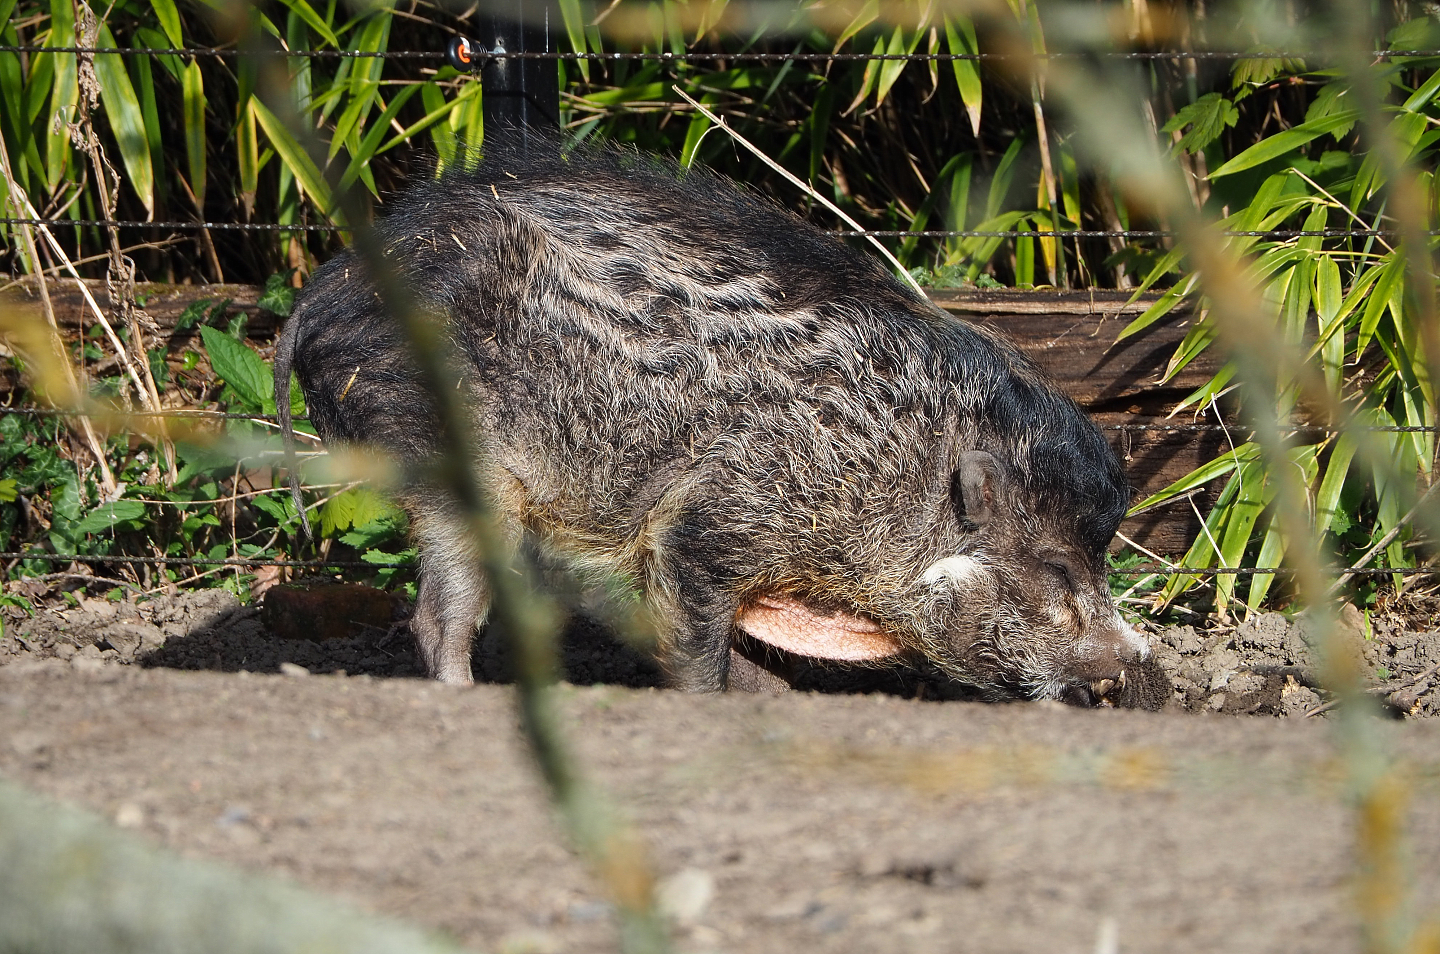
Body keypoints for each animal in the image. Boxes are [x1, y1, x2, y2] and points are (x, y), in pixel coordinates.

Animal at [274, 135, 1167, 709]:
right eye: (1055, 568)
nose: (1137, 669)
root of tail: (322, 292)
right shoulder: (704, 524)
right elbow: (697, 646)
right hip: (454, 453)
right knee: (441, 613)